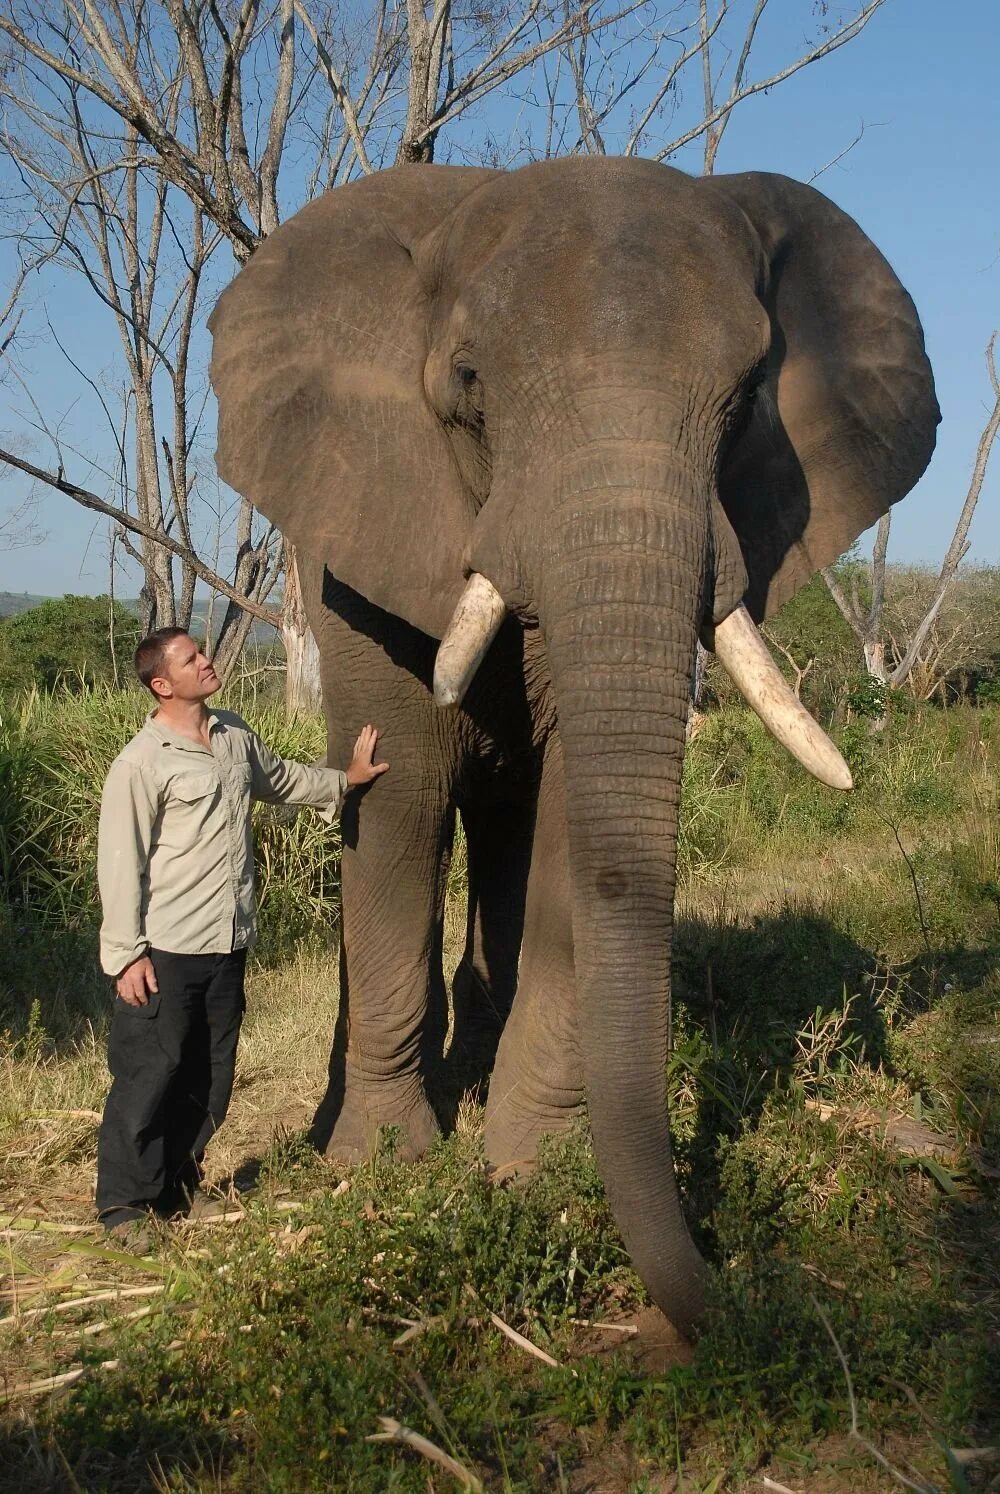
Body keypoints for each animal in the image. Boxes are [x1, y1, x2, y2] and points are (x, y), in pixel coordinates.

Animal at [209, 157, 938, 1338]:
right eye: (468, 382)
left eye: (746, 399)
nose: (728, 1313)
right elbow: (401, 800)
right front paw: (382, 1170)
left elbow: (567, 813)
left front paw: (533, 1175)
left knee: (508, 833)